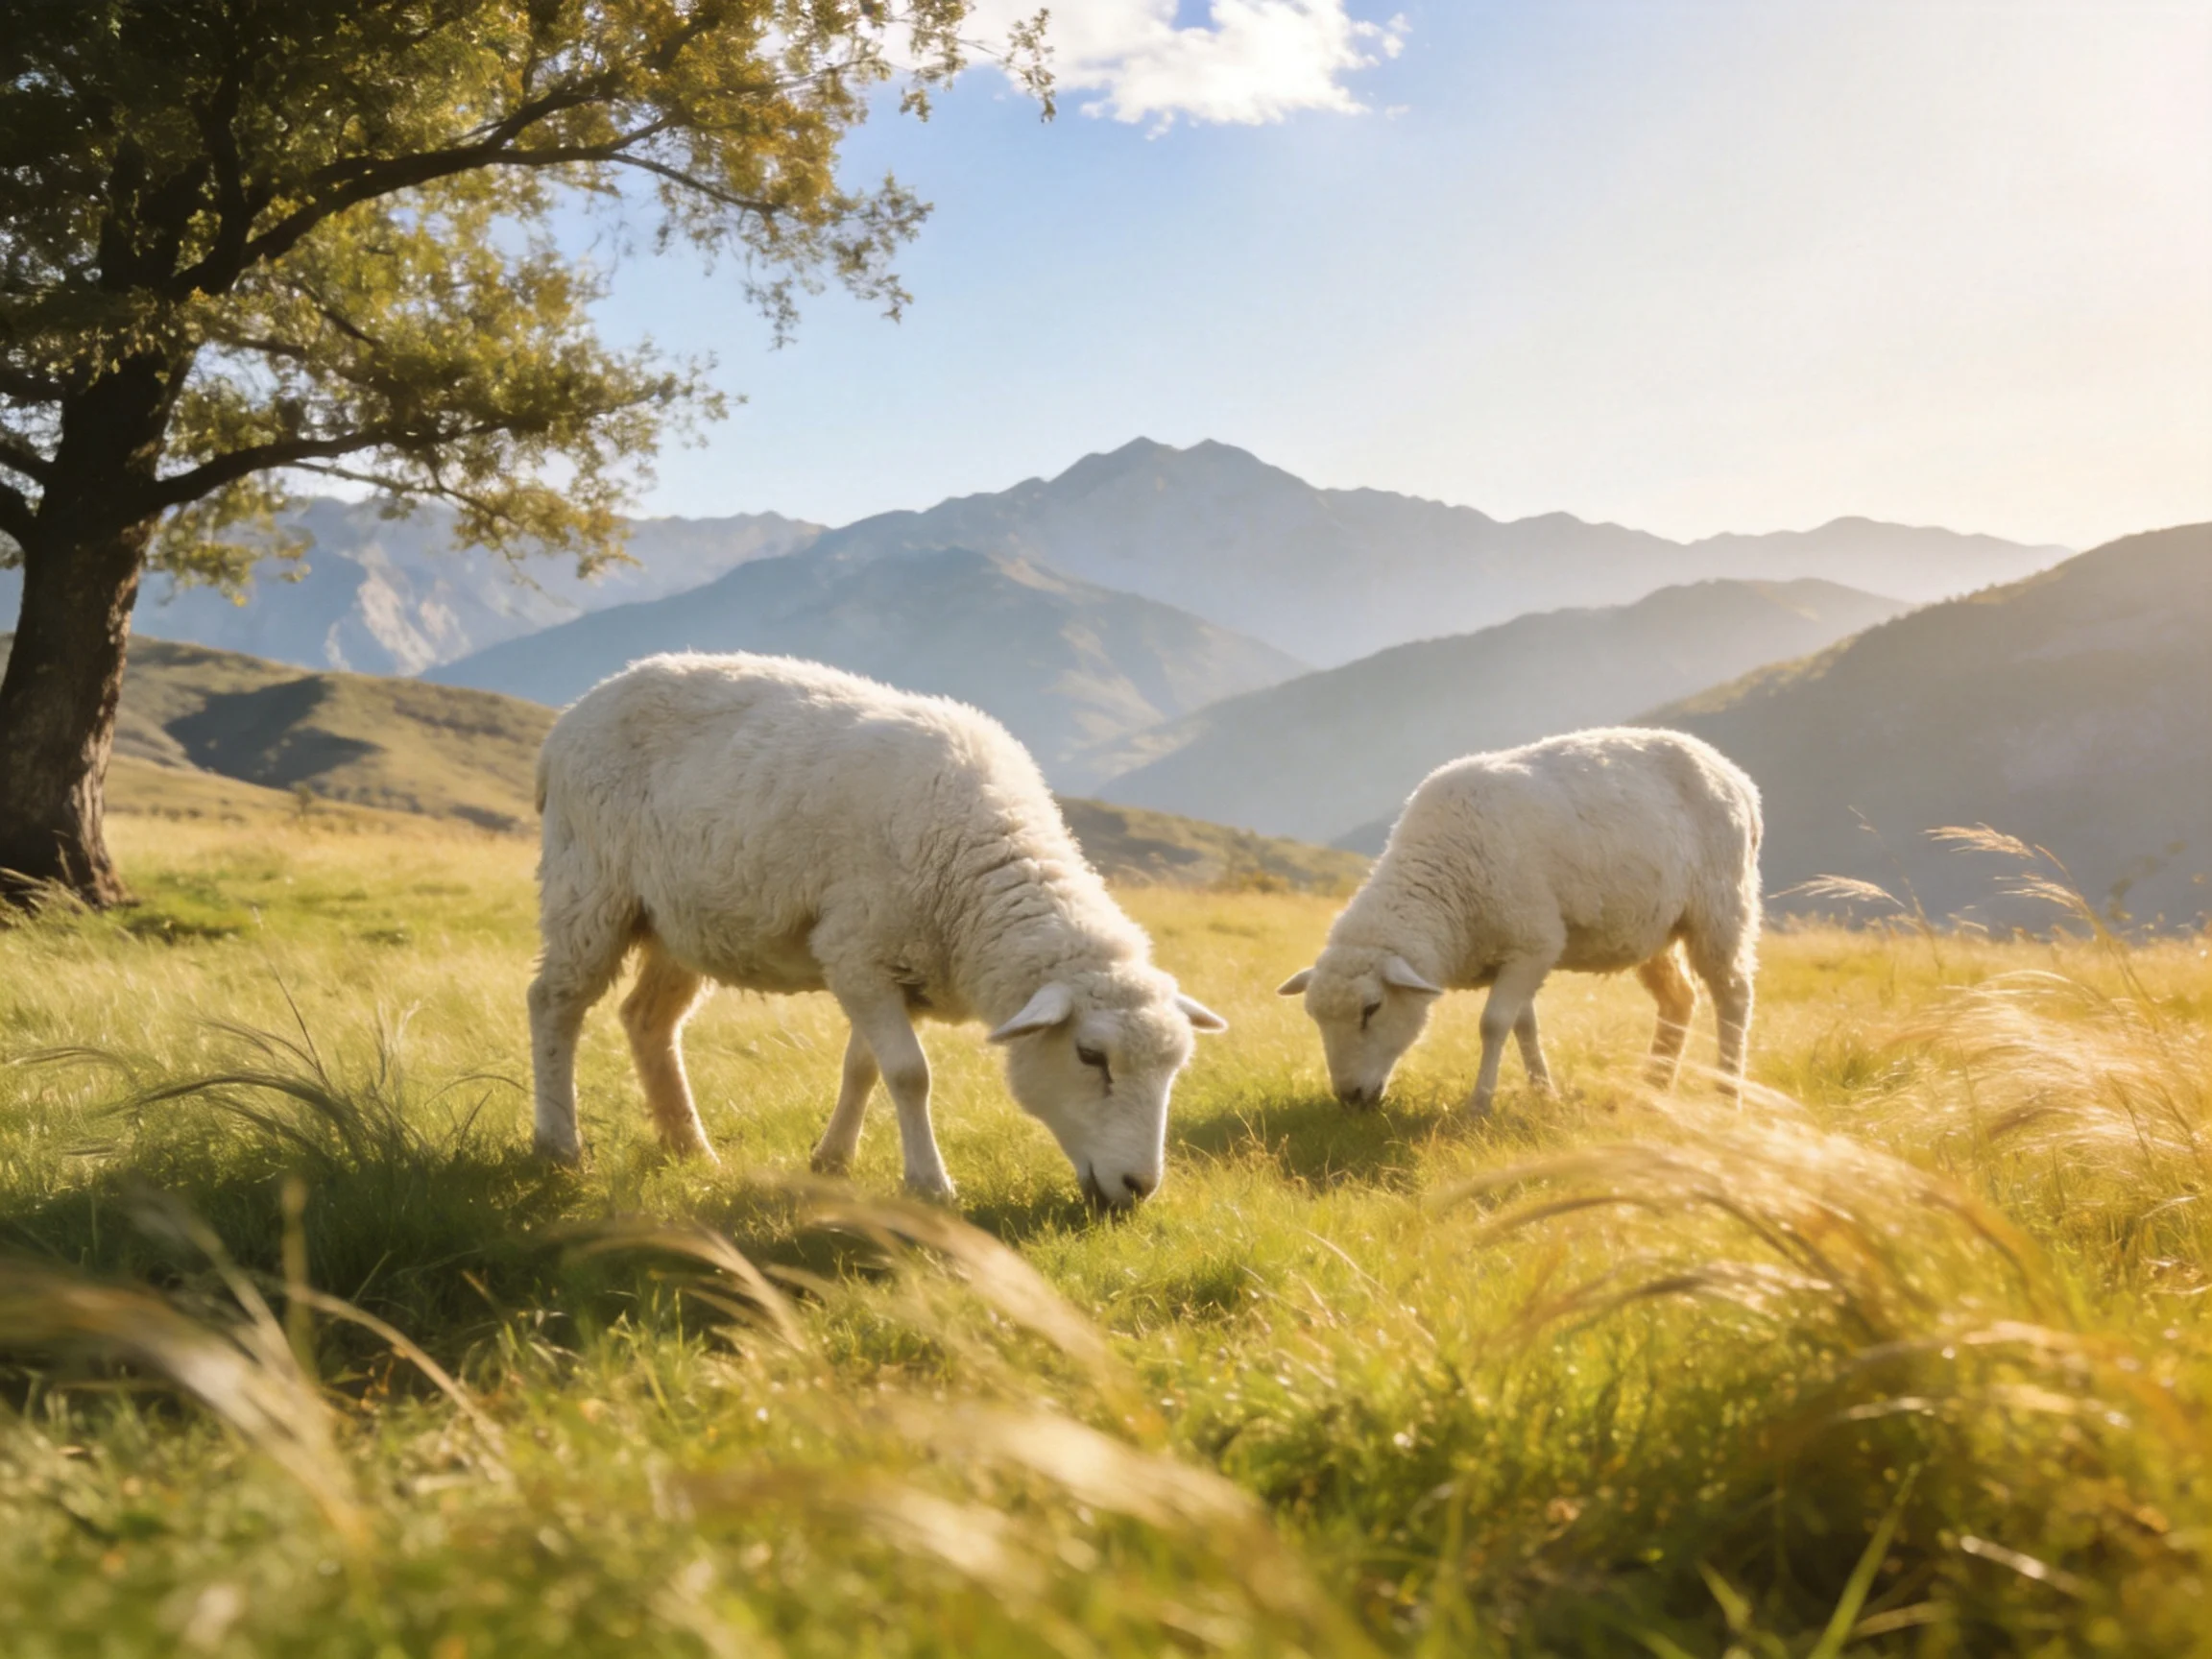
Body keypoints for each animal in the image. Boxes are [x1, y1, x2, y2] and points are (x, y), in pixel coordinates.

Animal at [528, 652, 1227, 1209]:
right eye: (1090, 1056)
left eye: (1175, 1067)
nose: (1140, 1188)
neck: (974, 864)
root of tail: (575, 713)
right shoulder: (855, 953)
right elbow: (911, 1075)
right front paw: (929, 1184)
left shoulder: (893, 969)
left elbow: (864, 1067)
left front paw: (831, 1160)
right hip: (589, 883)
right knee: (554, 1003)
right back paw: (560, 1144)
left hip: (682, 920)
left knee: (649, 1020)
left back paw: (689, 1148)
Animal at [1278, 727, 1761, 1115]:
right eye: (1315, 1017)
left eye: (1371, 1009)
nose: (1349, 1098)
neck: (1445, 879)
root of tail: (1737, 777)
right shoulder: (1515, 951)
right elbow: (1523, 1025)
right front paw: (1544, 1093)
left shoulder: (1534, 943)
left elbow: (1493, 1024)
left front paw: (1479, 1107)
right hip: (1653, 927)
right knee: (1680, 998)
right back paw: (1655, 1088)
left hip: (1721, 906)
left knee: (1733, 996)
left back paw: (1728, 1095)